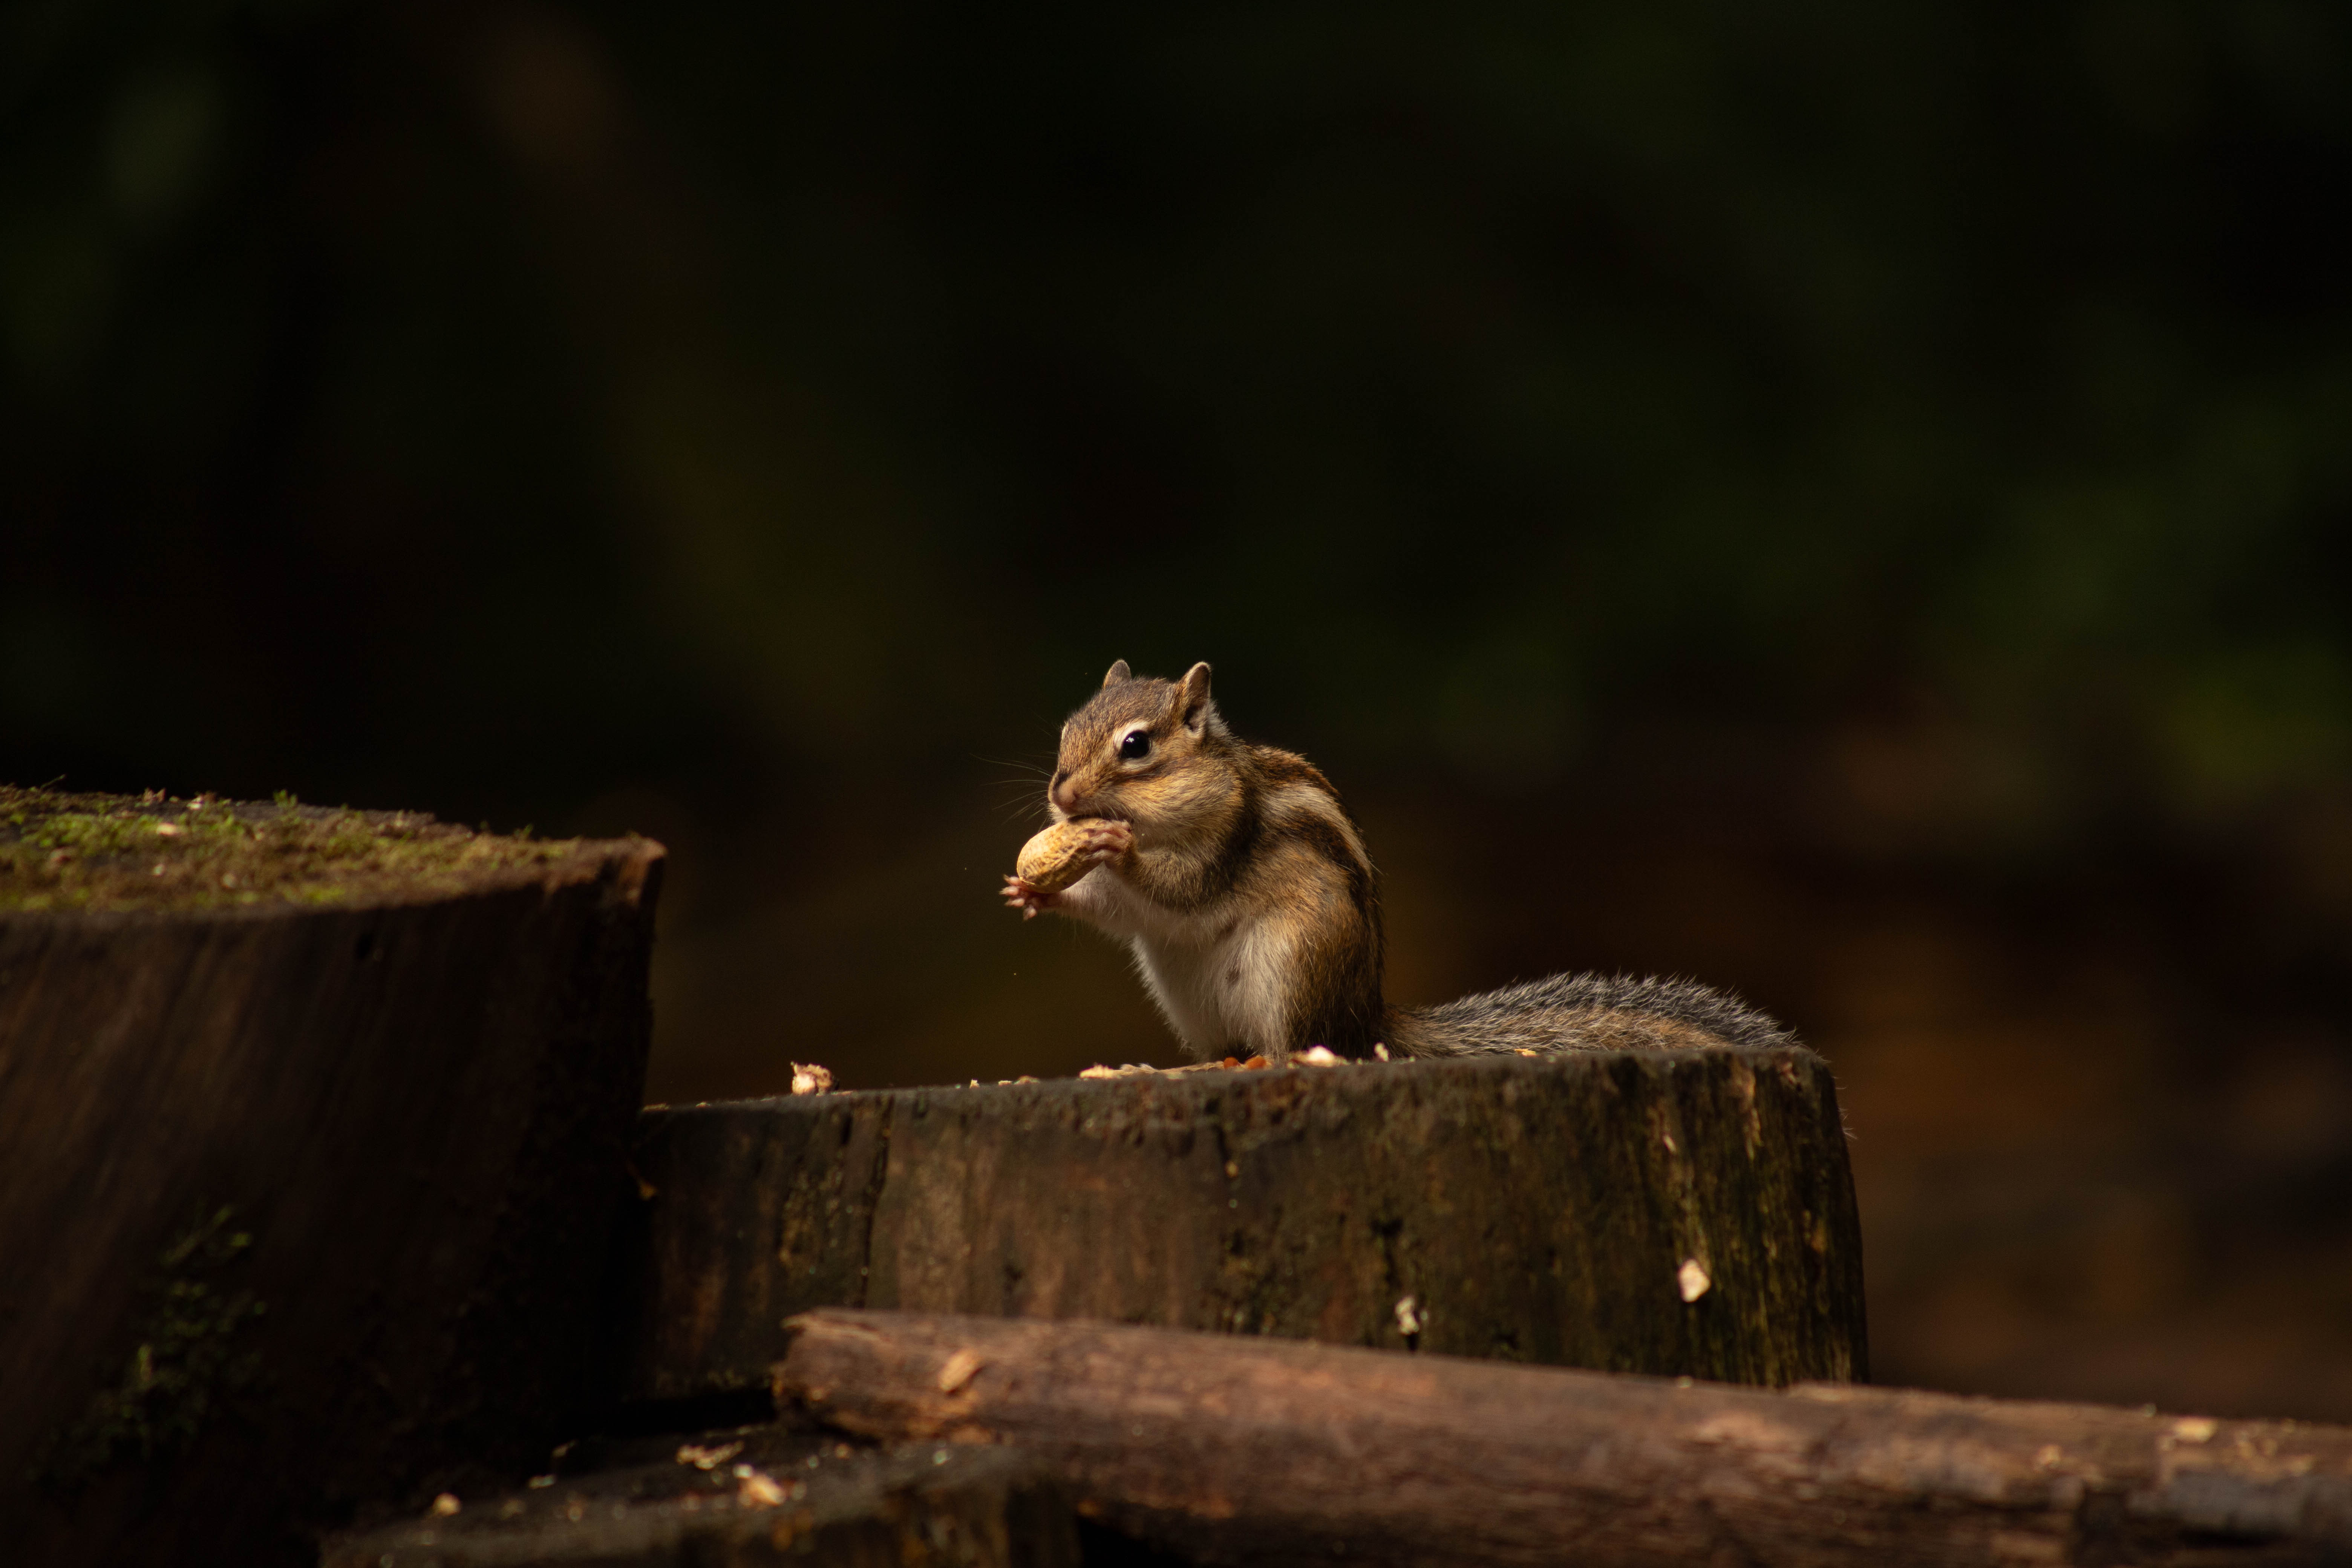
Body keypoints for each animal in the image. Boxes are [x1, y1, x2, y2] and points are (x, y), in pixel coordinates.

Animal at [1000, 659, 1796, 1064]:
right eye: (1069, 729)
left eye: (1136, 746)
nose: (1060, 795)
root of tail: (1367, 1015)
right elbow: (1114, 910)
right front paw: (1032, 891)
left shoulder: (1231, 831)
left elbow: (1184, 886)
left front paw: (1119, 846)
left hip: (1296, 967)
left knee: (1302, 1048)